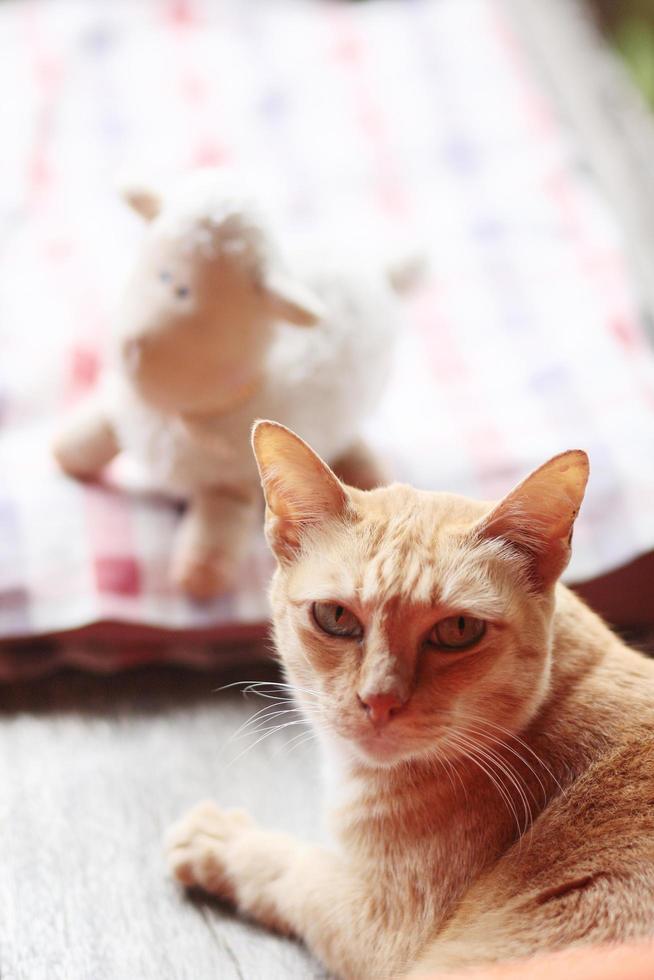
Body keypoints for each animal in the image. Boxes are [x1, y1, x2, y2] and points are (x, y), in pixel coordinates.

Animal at [167, 424, 654, 980]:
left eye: (458, 629)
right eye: (335, 616)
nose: (378, 700)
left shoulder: (379, 926)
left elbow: (293, 867)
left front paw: (221, 842)